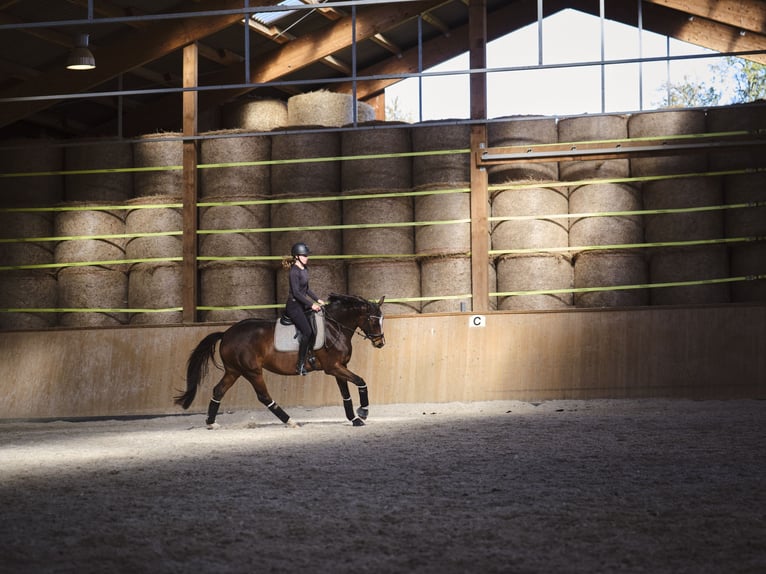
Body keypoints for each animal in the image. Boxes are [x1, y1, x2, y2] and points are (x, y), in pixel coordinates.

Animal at [176, 294, 388, 430]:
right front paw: (363, 412)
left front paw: (354, 419)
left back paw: (211, 422)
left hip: (233, 370)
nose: (380, 343)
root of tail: (227, 333)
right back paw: (290, 421)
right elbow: (361, 381)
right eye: (372, 320)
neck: (334, 327)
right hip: (252, 371)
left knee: (218, 391)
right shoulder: (333, 367)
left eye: (382, 319)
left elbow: (346, 395)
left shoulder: (340, 368)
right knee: (263, 396)